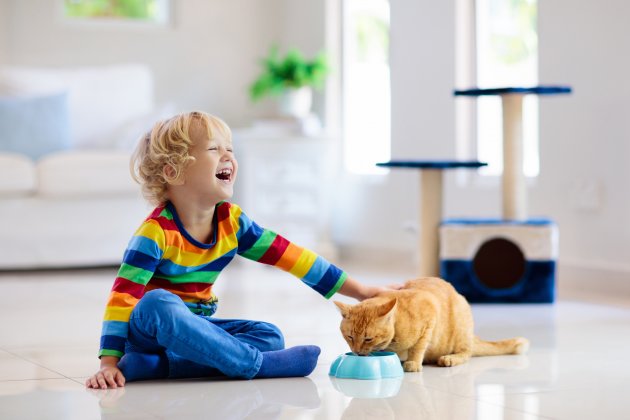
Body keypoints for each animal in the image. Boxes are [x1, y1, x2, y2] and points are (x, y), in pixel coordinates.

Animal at [334, 278, 532, 370]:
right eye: (350, 337)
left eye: (368, 339)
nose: (357, 352)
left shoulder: (429, 317)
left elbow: (418, 347)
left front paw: (413, 362)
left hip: (461, 325)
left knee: (466, 353)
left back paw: (450, 358)